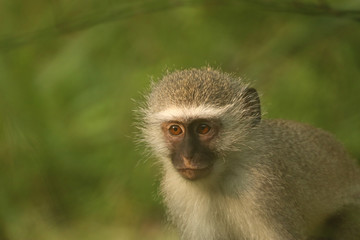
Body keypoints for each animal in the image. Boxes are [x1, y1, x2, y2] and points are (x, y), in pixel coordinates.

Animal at [138, 66, 360, 239]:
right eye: (175, 130)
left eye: (203, 128)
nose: (188, 155)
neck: (221, 177)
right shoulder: (177, 191)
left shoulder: (262, 190)